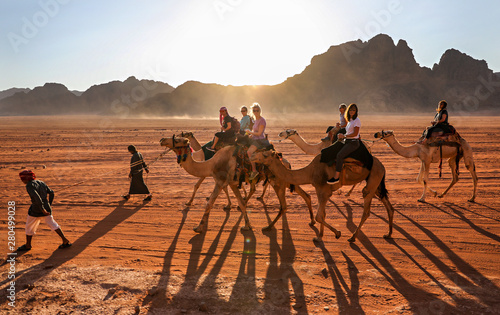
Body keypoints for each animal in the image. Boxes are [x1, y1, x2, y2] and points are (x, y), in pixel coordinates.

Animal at [250, 150, 394, 242]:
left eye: (265, 155)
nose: (251, 155)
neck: (310, 172)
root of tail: (383, 166)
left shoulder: (323, 189)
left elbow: (319, 216)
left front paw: (337, 234)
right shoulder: (323, 191)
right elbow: (322, 214)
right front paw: (319, 236)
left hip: (373, 180)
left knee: (366, 210)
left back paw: (353, 237)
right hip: (377, 184)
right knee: (389, 206)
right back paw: (388, 234)